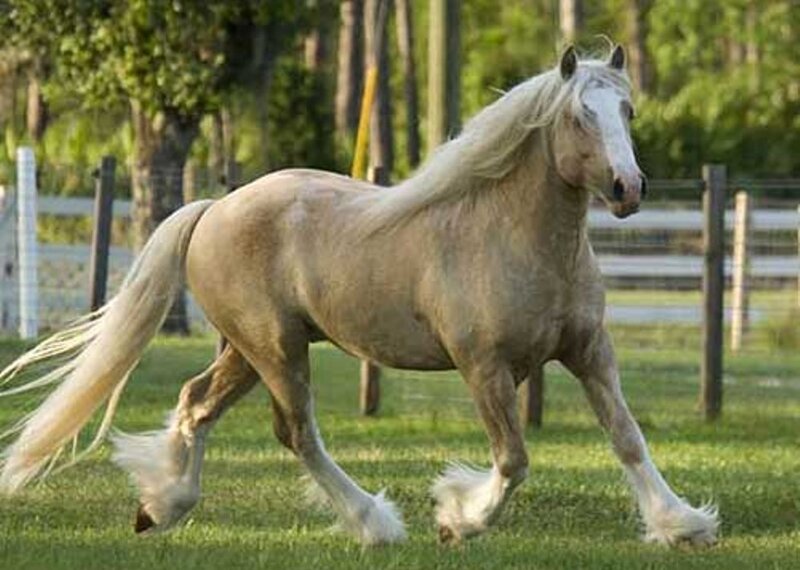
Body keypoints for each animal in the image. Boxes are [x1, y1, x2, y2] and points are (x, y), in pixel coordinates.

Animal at [0, 45, 718, 546]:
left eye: (626, 111)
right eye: (577, 116)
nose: (628, 189)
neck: (516, 237)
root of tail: (213, 209)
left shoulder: (590, 353)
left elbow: (627, 438)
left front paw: (681, 523)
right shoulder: (483, 368)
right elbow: (513, 460)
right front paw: (457, 519)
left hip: (246, 349)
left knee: (196, 403)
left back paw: (160, 506)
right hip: (277, 349)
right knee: (296, 432)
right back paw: (374, 522)